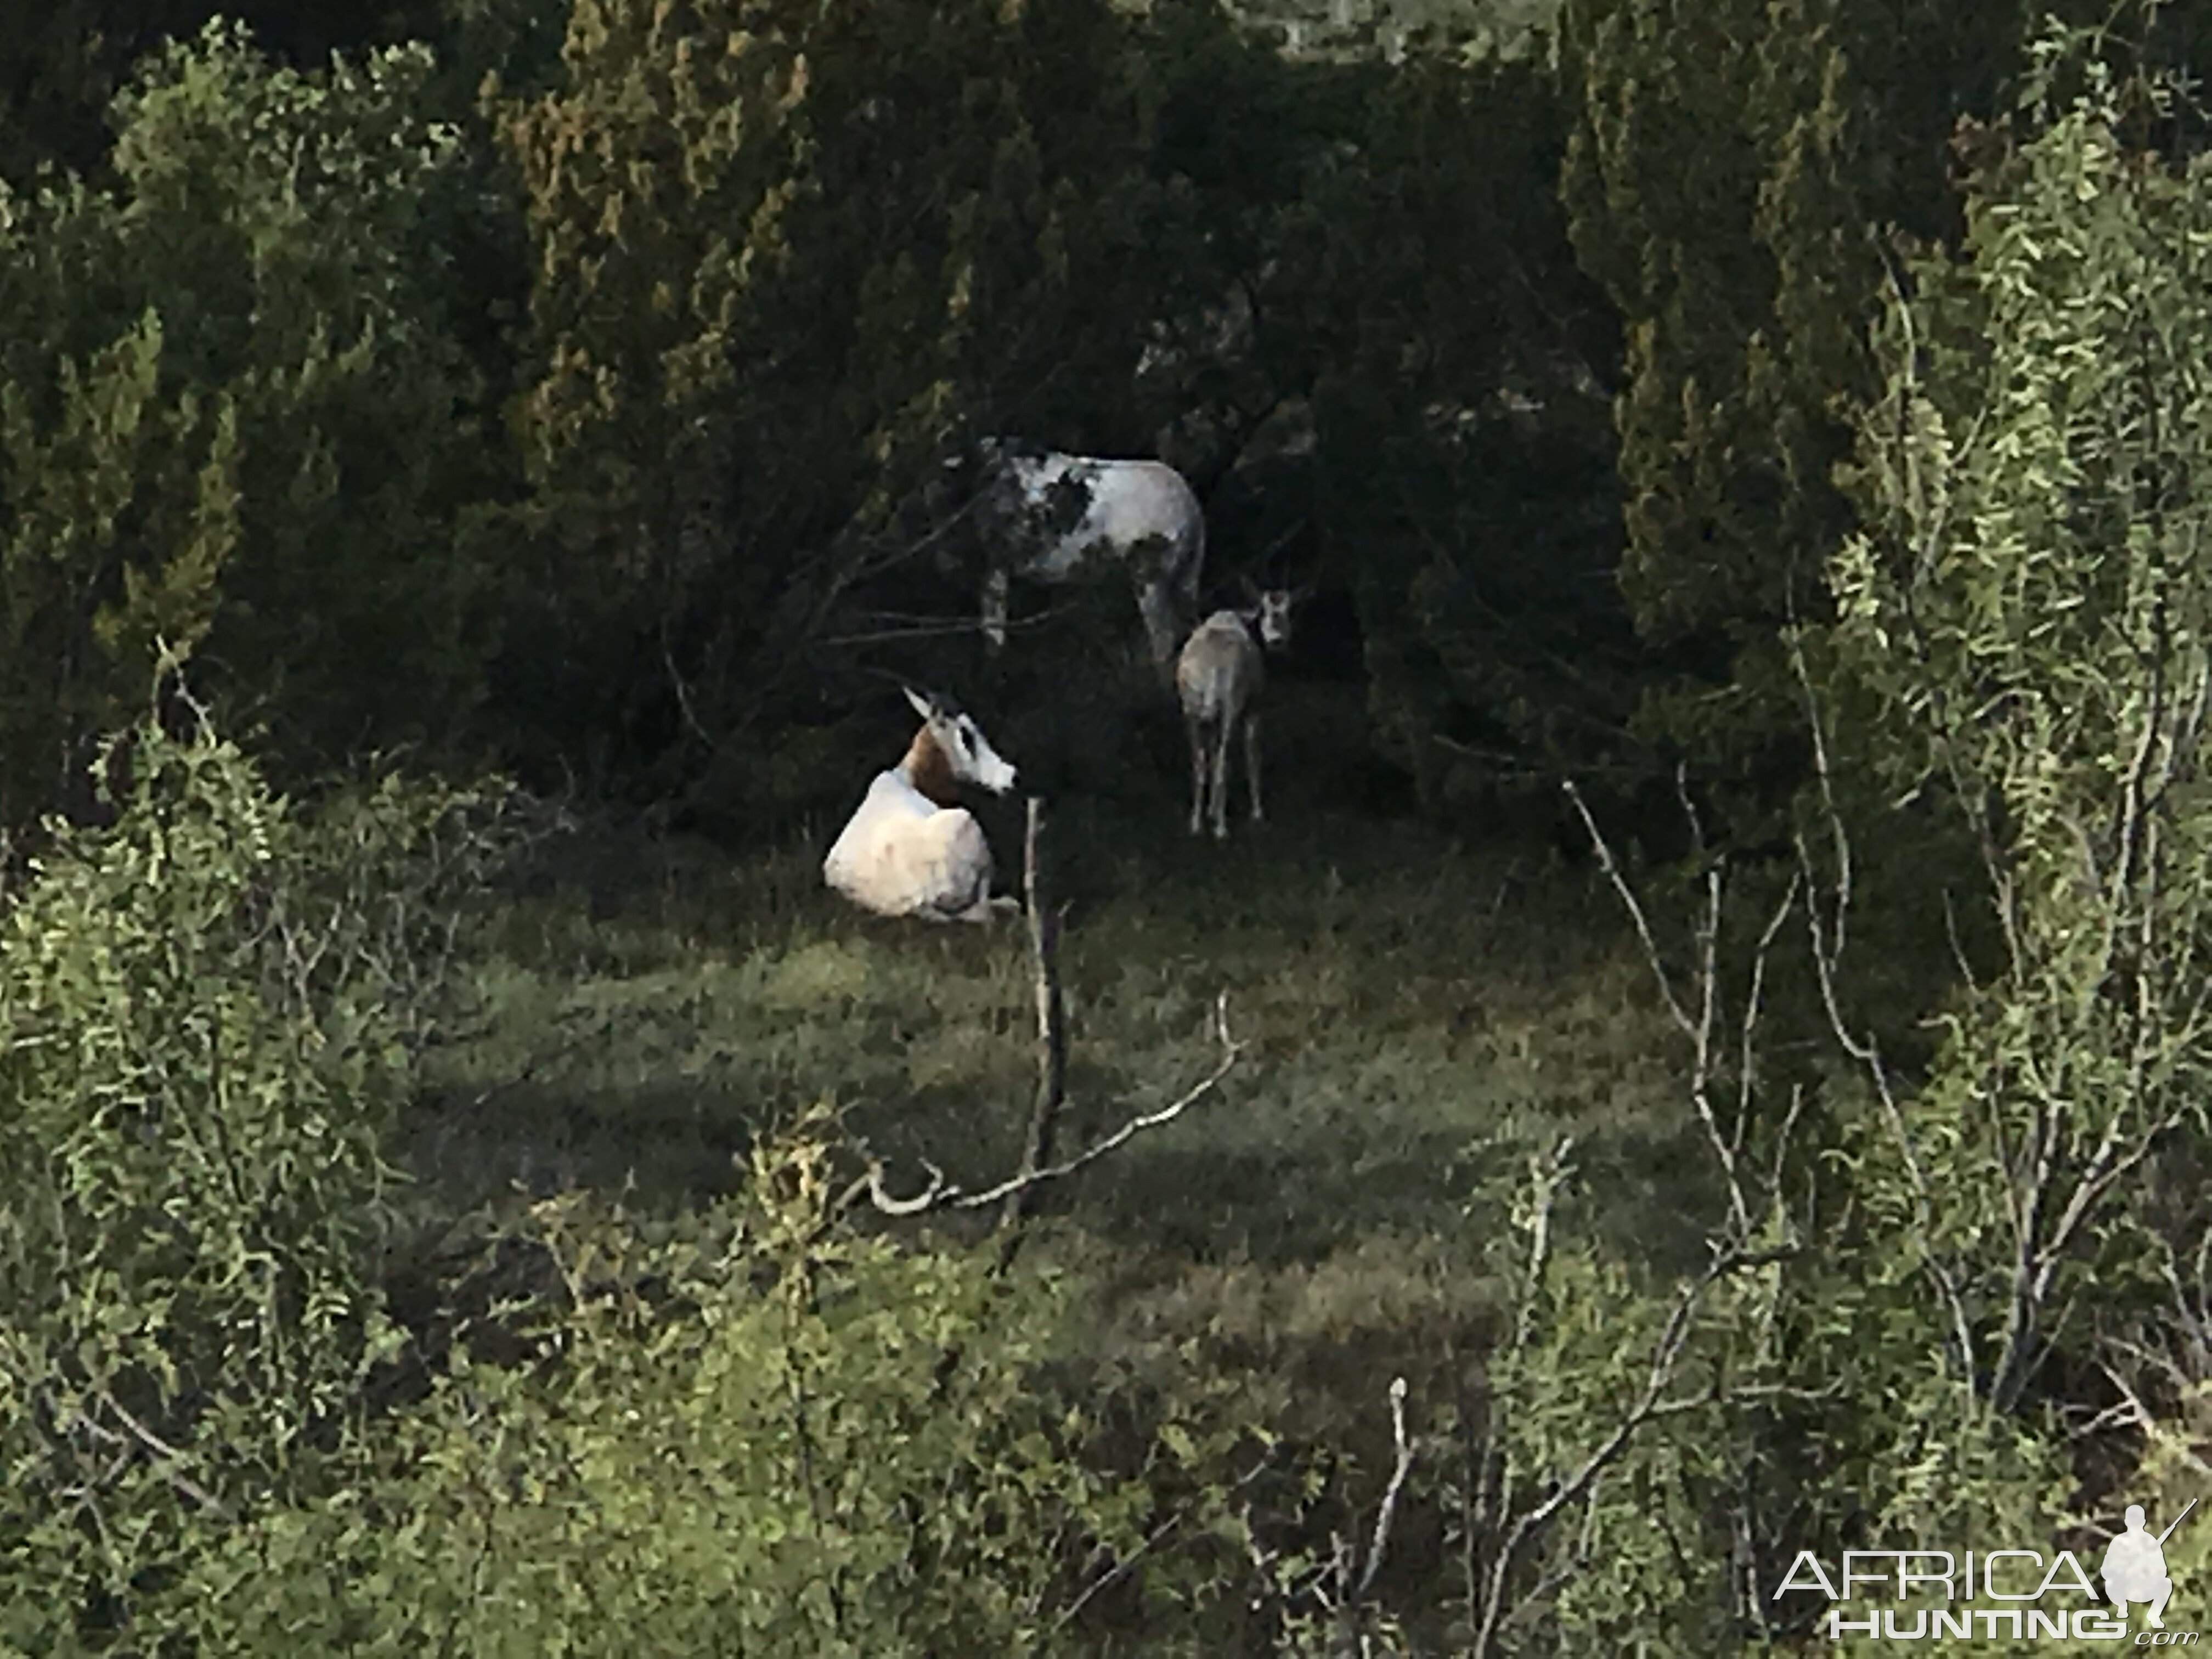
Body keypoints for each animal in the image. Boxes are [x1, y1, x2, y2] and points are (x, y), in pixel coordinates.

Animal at [1177, 584, 1291, 845]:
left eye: (1287, 610)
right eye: (1266, 610)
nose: (1277, 640)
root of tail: (1209, 669)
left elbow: (1208, 756)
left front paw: (1210, 811)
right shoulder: (1254, 708)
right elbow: (1252, 754)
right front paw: (1257, 814)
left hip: (1192, 712)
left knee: (1199, 762)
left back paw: (1196, 825)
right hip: (1230, 709)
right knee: (1223, 762)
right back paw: (1222, 829)